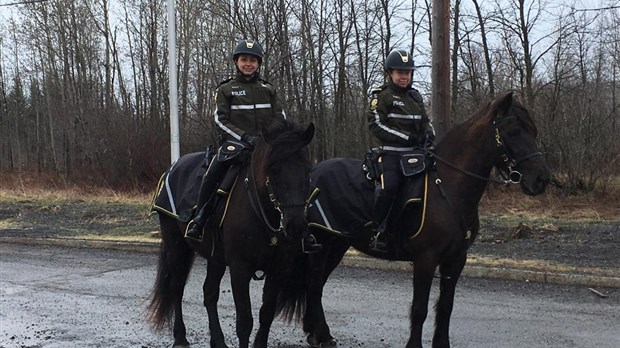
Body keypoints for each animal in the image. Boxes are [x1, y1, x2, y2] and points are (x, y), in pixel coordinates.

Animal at [148, 120, 318, 348]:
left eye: (307, 169)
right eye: (273, 170)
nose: (295, 225)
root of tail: (174, 167)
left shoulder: (278, 268)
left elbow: (267, 314)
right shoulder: (240, 269)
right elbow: (245, 321)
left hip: (215, 257)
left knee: (209, 293)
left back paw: (217, 340)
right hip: (176, 244)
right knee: (177, 286)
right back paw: (180, 337)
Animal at [290, 92, 548, 348]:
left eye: (534, 130)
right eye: (514, 130)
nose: (541, 179)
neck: (447, 188)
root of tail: (313, 172)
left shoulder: (456, 259)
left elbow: (445, 307)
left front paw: (441, 344)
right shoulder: (426, 259)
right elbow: (419, 309)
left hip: (337, 245)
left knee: (317, 284)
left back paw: (315, 332)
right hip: (322, 244)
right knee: (314, 285)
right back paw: (321, 335)